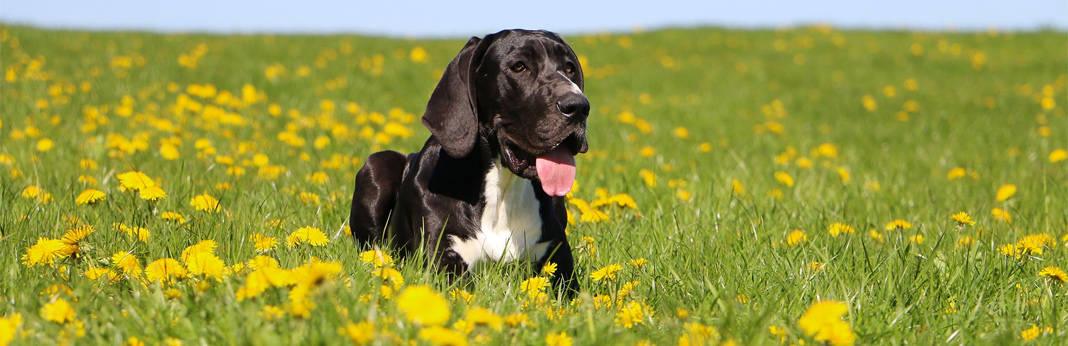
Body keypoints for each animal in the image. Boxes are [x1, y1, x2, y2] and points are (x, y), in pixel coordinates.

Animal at [350, 29, 589, 292]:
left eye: (569, 68)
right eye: (519, 66)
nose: (578, 106)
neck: (504, 190)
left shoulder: (560, 268)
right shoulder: (445, 264)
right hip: (379, 163)